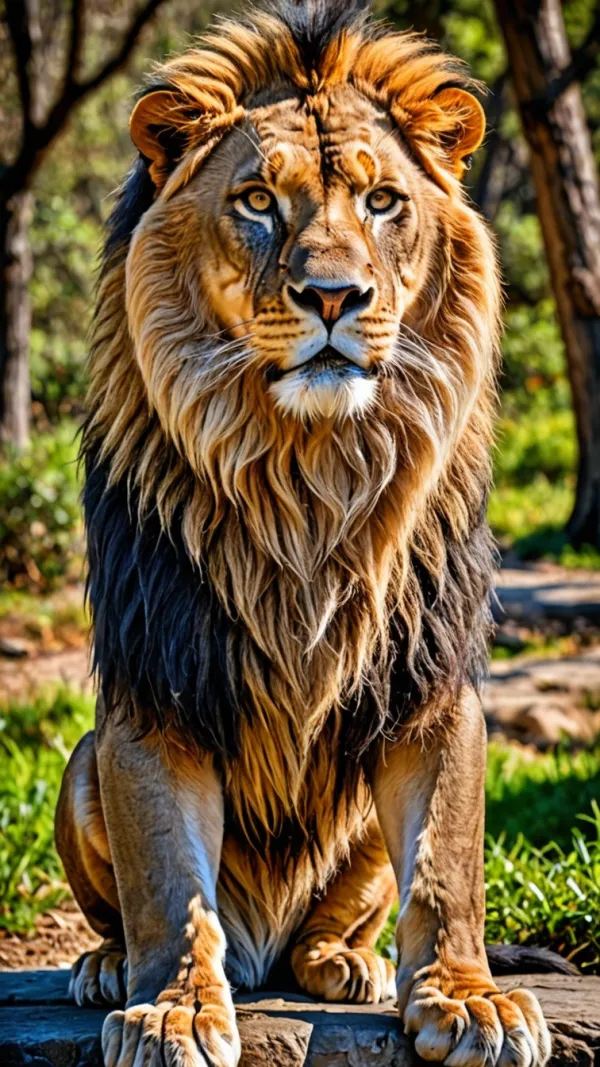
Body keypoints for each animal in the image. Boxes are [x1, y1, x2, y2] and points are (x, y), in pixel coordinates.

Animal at [56, 3, 555, 1065]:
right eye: (256, 200)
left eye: (381, 201)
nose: (334, 296)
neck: (308, 474)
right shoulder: (155, 686)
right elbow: (169, 884)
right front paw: (173, 1008)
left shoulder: (430, 679)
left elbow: (447, 866)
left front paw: (471, 998)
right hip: (82, 758)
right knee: (141, 911)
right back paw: (111, 965)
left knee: (335, 922)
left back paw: (345, 963)